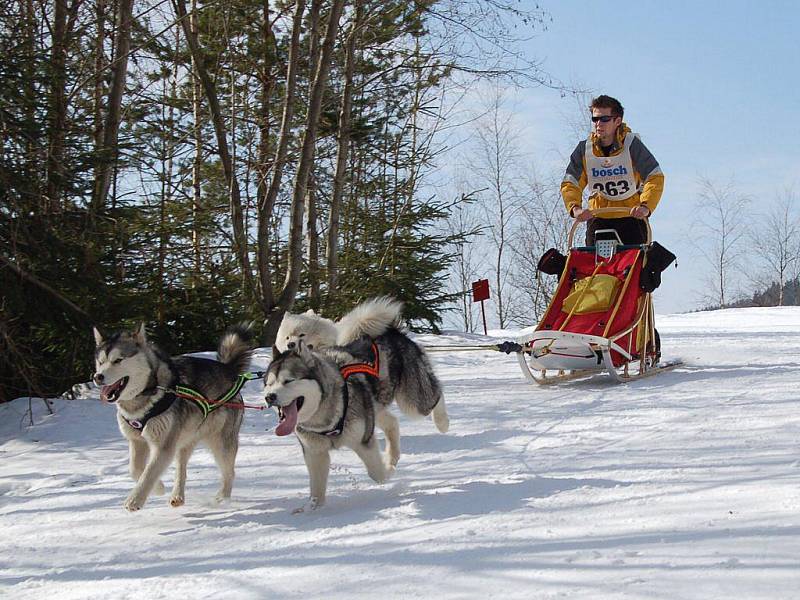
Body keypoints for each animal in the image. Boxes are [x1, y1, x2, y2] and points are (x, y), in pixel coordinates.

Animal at [93, 324, 253, 510]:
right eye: (100, 362)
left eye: (118, 360)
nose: (98, 377)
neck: (147, 392)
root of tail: (228, 369)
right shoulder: (137, 440)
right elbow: (135, 469)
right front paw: (158, 488)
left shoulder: (163, 446)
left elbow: (149, 472)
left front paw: (135, 500)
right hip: (184, 439)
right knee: (181, 469)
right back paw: (177, 496)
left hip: (221, 443)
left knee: (229, 473)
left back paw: (222, 498)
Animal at [264, 318, 446, 510]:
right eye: (268, 383)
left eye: (288, 381)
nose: (269, 397)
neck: (325, 418)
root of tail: (392, 331)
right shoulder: (315, 453)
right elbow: (316, 490)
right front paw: (312, 509)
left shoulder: (363, 441)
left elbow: (377, 474)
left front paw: (388, 471)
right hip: (374, 408)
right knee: (392, 422)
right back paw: (392, 457)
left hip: (412, 402)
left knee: (436, 395)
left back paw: (442, 423)